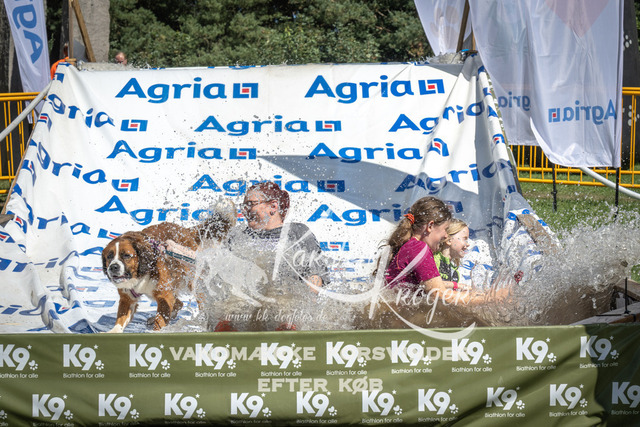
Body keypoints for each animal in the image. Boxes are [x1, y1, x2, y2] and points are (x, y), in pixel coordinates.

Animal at [102, 199, 236, 332]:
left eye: (126, 255)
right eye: (109, 257)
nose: (113, 267)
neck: (142, 272)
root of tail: (185, 230)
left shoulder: (164, 295)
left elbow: (161, 318)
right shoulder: (127, 298)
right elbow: (121, 318)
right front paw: (113, 331)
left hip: (191, 280)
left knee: (198, 299)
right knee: (178, 303)